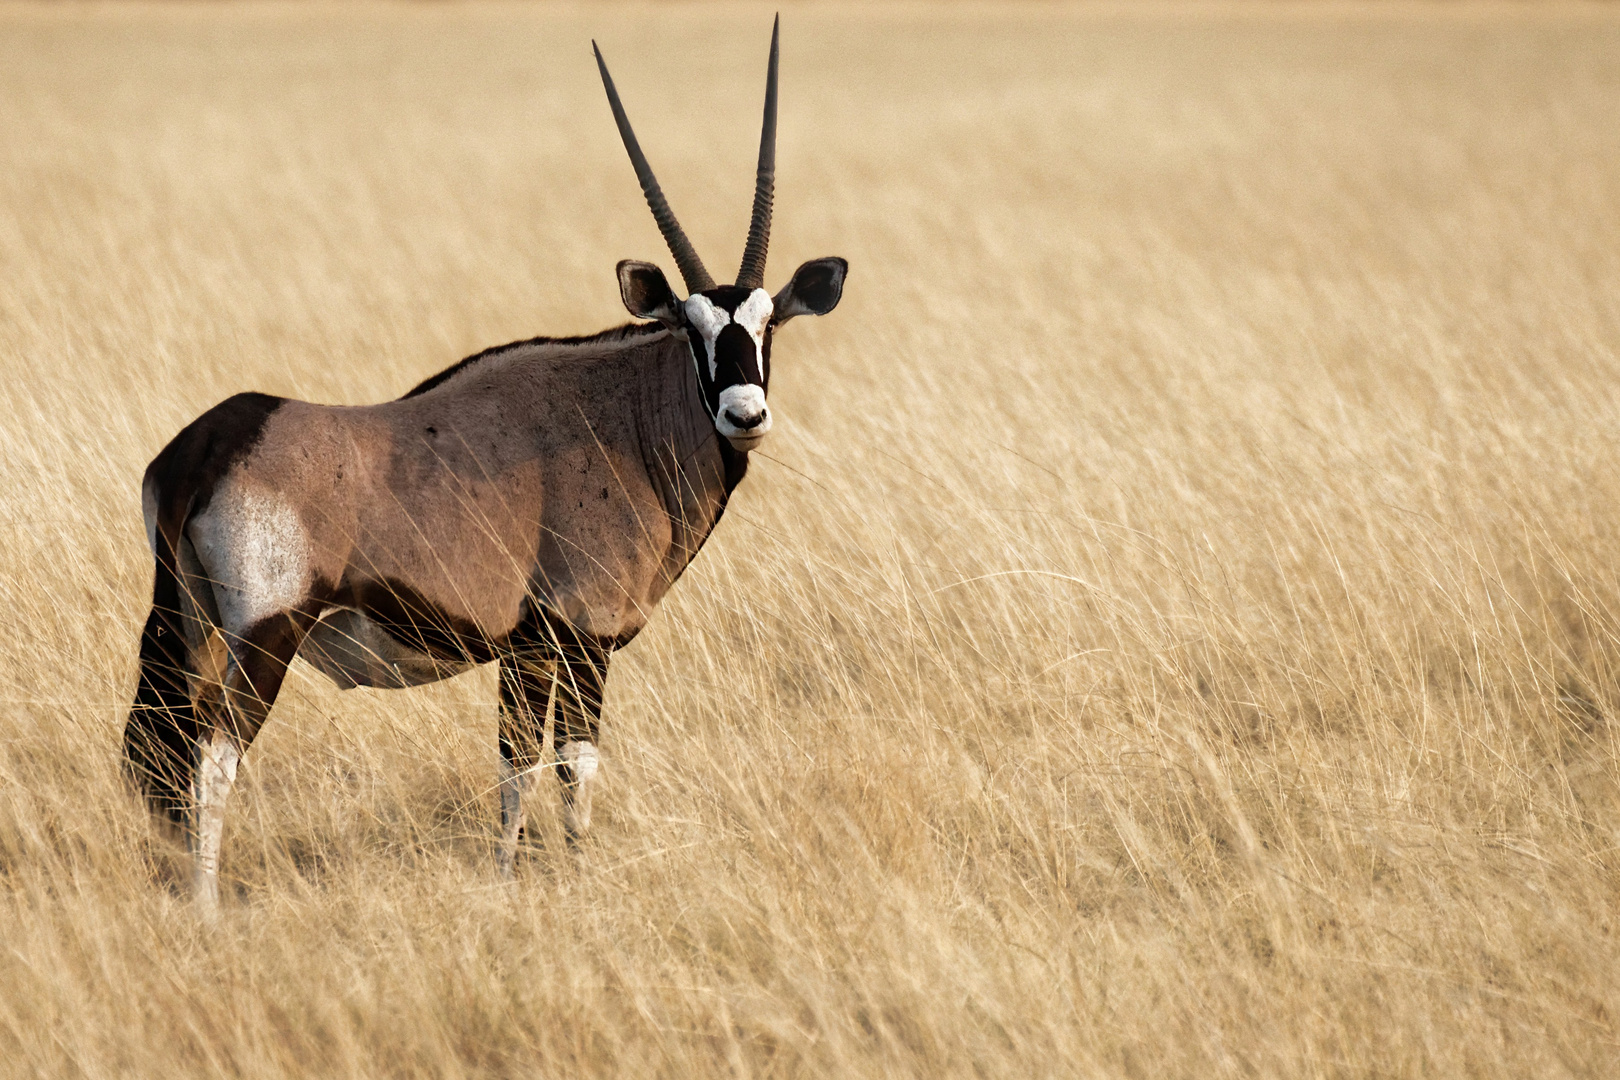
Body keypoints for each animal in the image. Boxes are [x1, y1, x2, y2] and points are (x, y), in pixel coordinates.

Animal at [123, 19, 848, 913]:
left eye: (769, 323)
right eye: (691, 328)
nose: (744, 415)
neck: (623, 417)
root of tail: (211, 444)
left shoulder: (531, 649)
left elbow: (533, 767)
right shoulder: (568, 640)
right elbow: (550, 766)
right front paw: (546, 878)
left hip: (190, 627)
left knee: (165, 752)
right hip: (265, 634)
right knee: (213, 759)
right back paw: (208, 909)